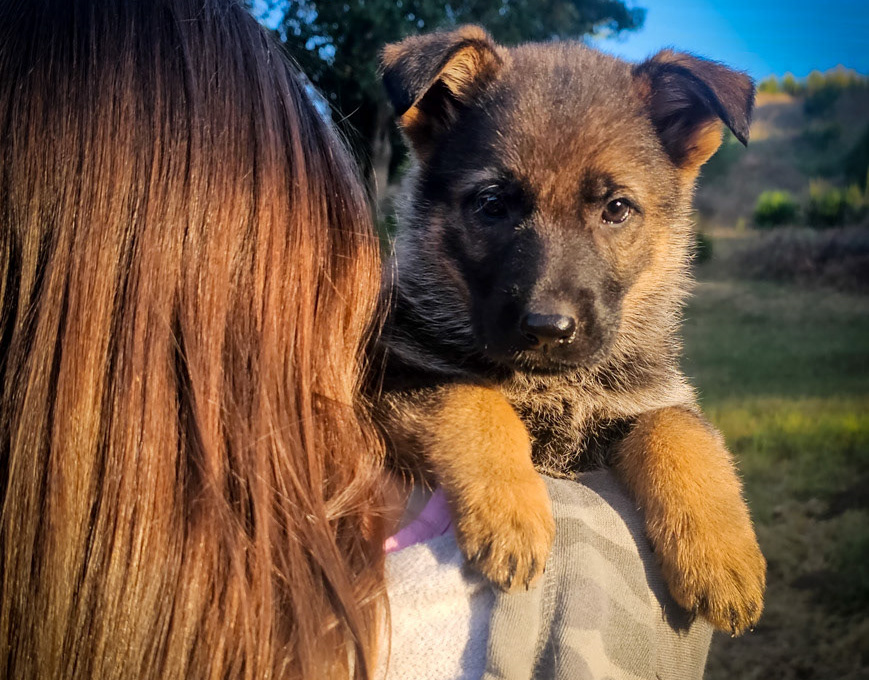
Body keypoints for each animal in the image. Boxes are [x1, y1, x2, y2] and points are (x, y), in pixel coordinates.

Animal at [374, 25, 768, 632]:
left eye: (617, 208)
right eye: (492, 204)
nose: (547, 328)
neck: (553, 382)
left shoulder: (645, 400)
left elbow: (680, 430)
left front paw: (722, 557)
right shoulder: (400, 375)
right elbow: (473, 399)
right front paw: (510, 511)